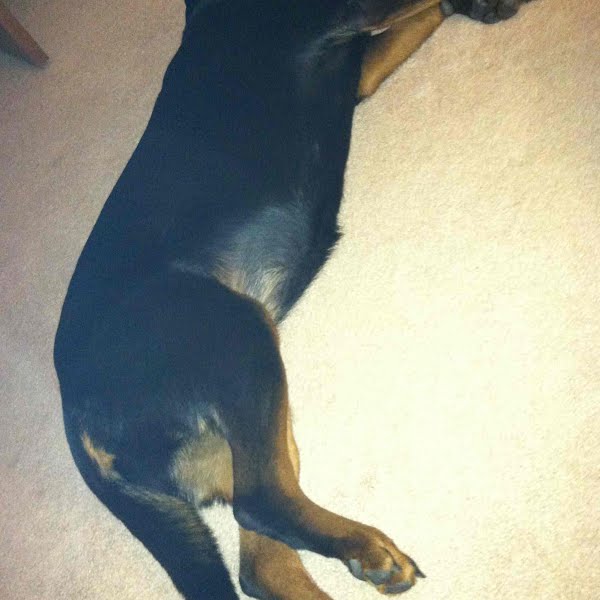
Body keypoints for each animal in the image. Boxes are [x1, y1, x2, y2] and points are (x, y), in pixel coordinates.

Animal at [54, 1, 532, 598]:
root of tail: (77, 415)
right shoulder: (339, 20)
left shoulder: (356, 66)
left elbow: (419, 17)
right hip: (236, 333)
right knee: (263, 504)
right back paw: (368, 549)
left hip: (248, 413)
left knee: (263, 563)